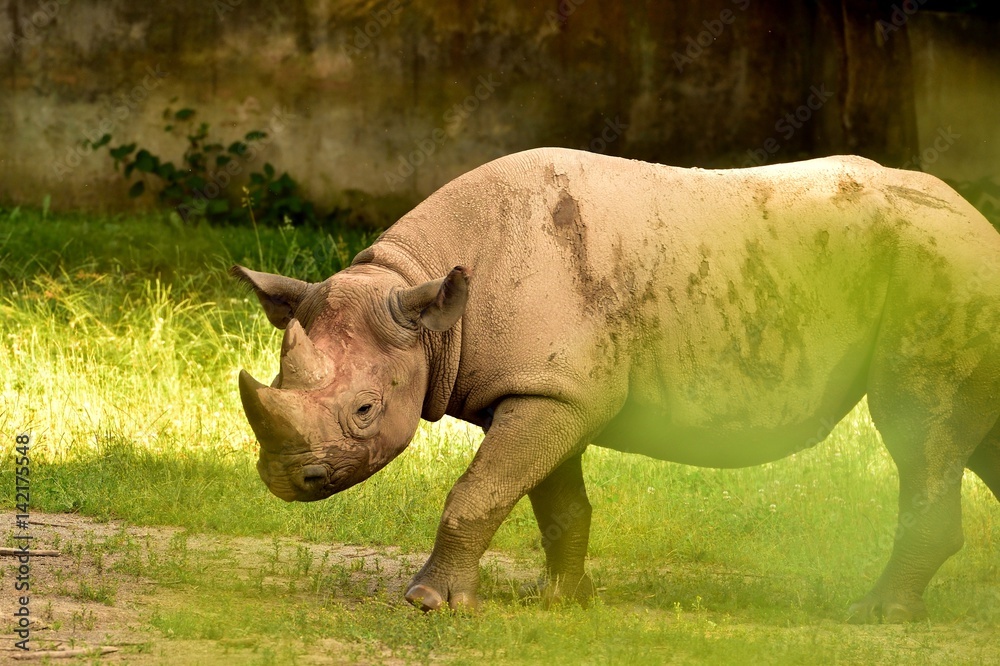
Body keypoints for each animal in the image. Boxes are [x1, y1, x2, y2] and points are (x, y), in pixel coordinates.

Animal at [232, 148, 1000, 622]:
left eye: (365, 409)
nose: (284, 479)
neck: (425, 303)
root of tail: (983, 226)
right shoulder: (552, 389)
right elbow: (556, 502)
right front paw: (563, 600)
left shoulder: (552, 392)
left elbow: (479, 490)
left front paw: (429, 605)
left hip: (941, 271)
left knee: (919, 429)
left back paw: (877, 614)